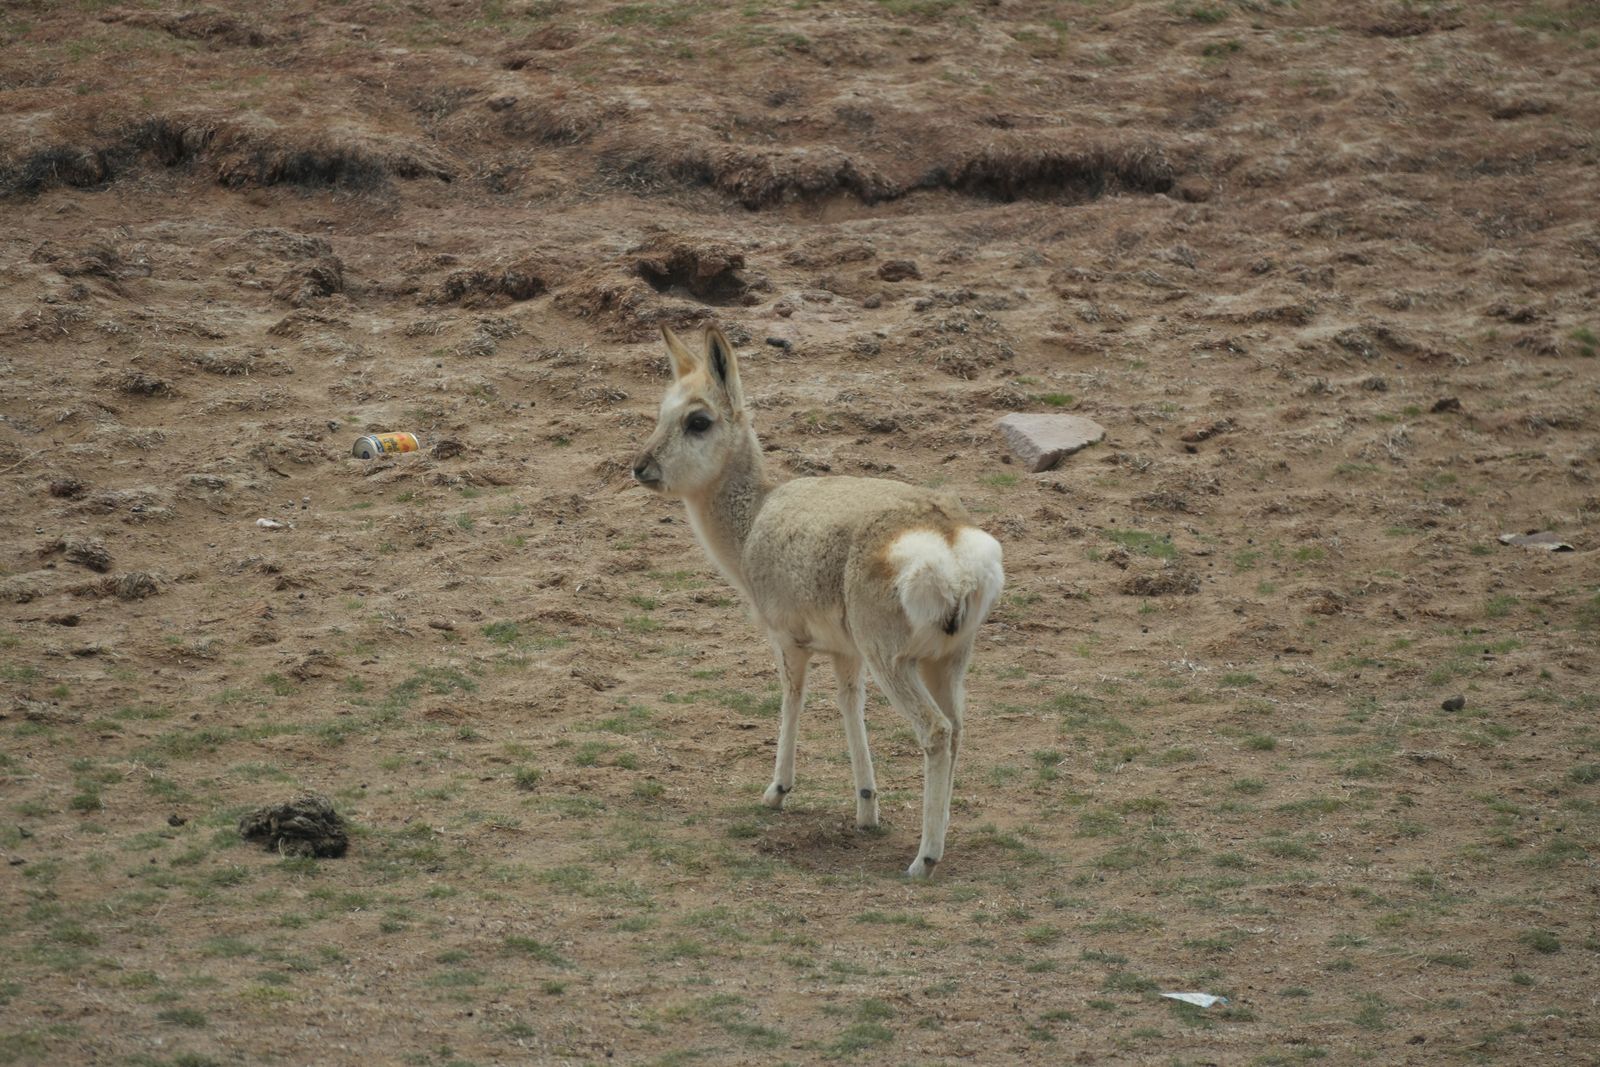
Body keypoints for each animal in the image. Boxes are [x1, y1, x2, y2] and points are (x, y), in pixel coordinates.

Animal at [631, 325, 1004, 878]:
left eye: (698, 420)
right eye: (661, 411)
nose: (640, 467)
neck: (755, 518)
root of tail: (948, 537)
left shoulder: (787, 642)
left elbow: (793, 698)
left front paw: (776, 791)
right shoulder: (846, 655)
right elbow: (849, 705)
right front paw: (867, 808)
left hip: (896, 662)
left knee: (935, 732)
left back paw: (924, 859)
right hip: (947, 662)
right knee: (956, 730)